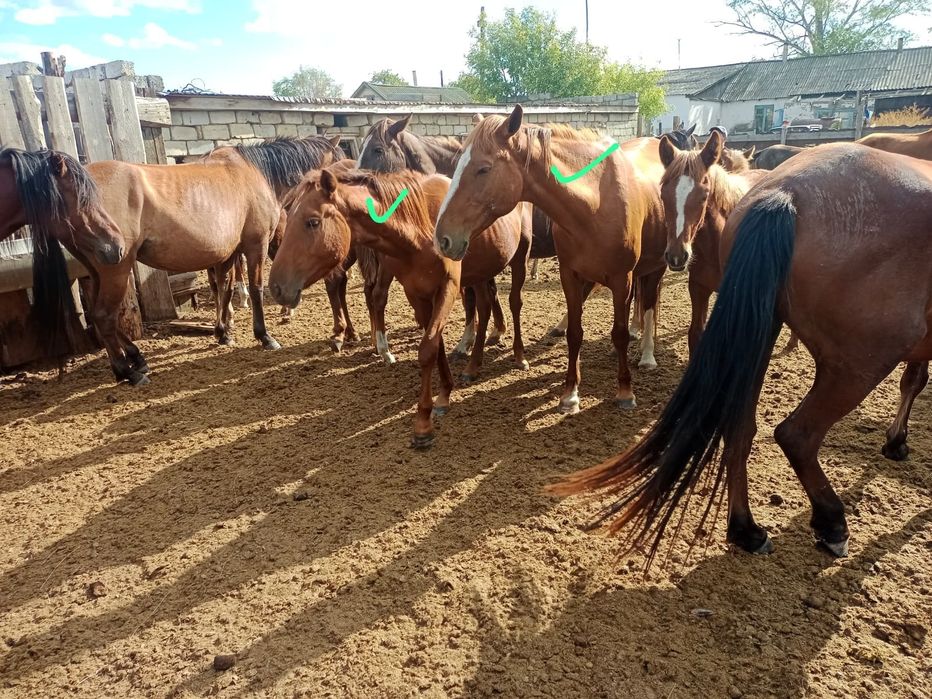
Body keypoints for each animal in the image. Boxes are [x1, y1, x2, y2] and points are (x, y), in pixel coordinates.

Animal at [83, 137, 341, 385]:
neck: (258, 173)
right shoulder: (255, 245)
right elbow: (255, 288)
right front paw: (264, 336)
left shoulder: (228, 253)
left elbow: (225, 289)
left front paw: (223, 332)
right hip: (115, 271)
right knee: (105, 316)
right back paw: (128, 372)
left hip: (96, 273)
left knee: (99, 316)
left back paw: (134, 361)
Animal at [268, 168, 531, 447]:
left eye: (312, 222)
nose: (276, 287)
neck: (419, 231)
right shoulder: (417, 294)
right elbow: (435, 345)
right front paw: (444, 393)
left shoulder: (447, 288)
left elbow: (427, 349)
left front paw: (423, 424)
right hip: (481, 272)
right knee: (483, 306)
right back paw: (473, 366)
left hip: (519, 258)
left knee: (514, 303)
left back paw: (519, 357)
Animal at [434, 105, 668, 413]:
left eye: (484, 168)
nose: (442, 238)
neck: (595, 203)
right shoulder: (570, 274)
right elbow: (575, 333)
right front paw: (570, 394)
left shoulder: (621, 279)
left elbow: (618, 333)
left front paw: (625, 392)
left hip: (655, 268)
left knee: (650, 304)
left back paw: (647, 355)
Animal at [553, 142, 932, 565]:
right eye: (662, 193)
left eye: (703, 191)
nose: (676, 255)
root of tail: (784, 195)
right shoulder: (703, 290)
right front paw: (896, 442)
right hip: (855, 360)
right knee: (793, 433)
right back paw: (818, 525)